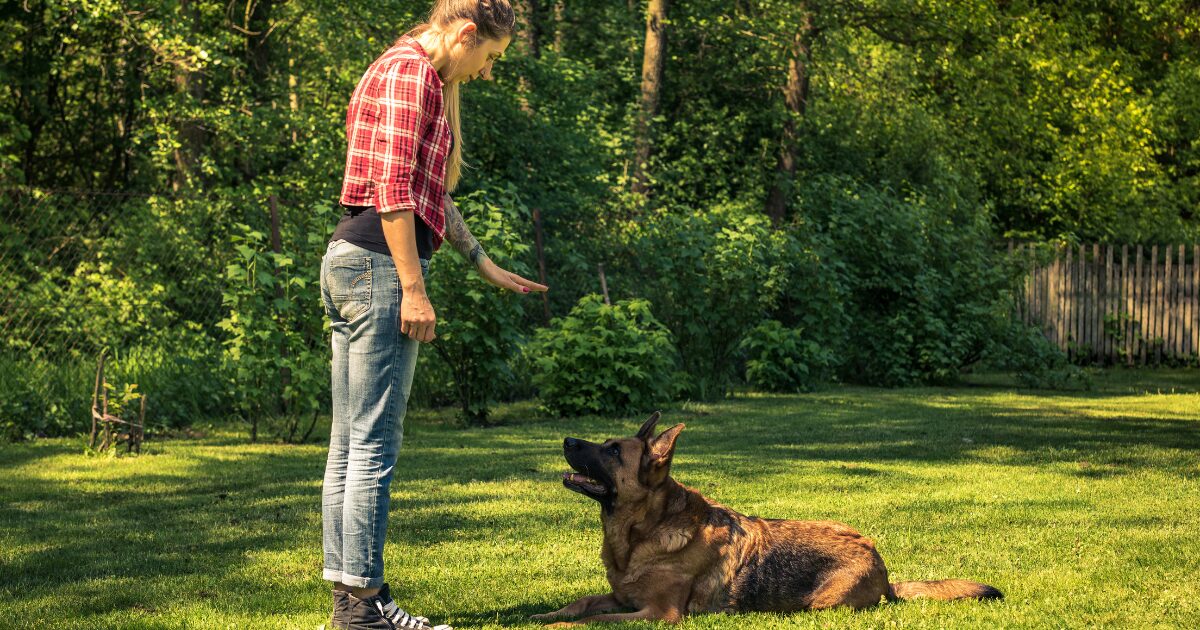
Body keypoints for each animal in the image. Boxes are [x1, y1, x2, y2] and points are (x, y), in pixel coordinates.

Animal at [535, 410, 1003, 624]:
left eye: (613, 451)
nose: (567, 439)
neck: (643, 534)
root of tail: (882, 565)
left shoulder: (656, 614)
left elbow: (592, 621)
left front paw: (557, 626)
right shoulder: (624, 598)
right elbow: (583, 603)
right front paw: (545, 616)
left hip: (821, 604)